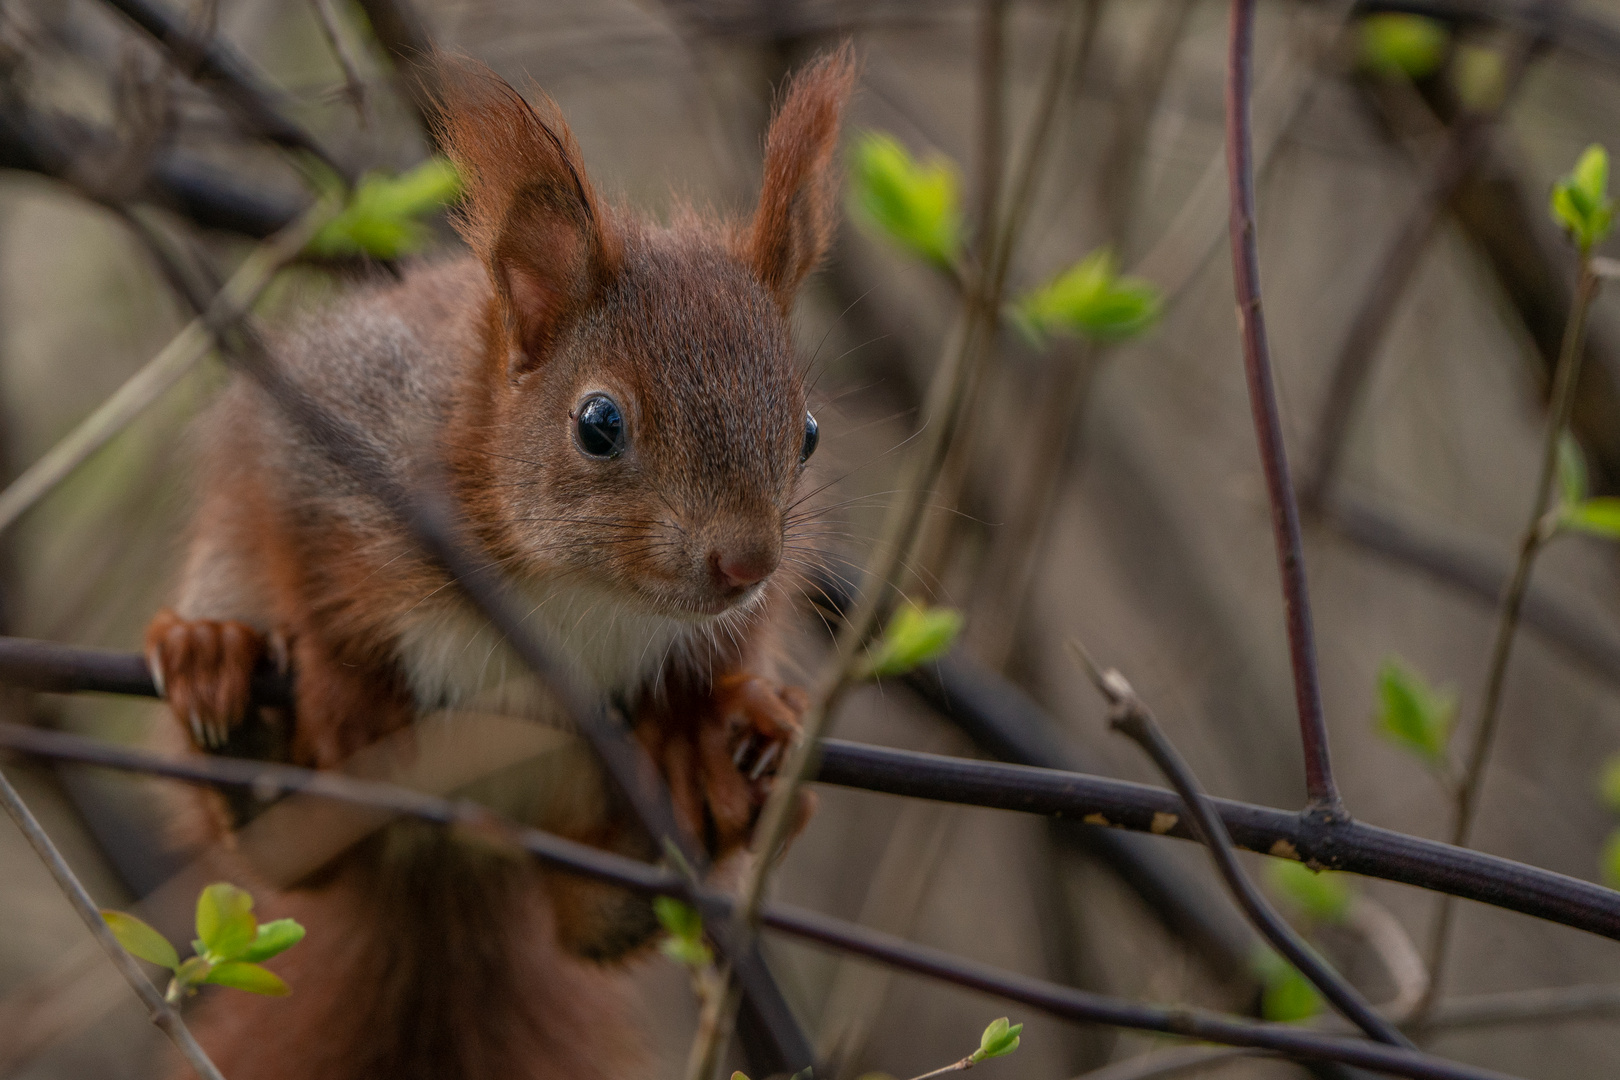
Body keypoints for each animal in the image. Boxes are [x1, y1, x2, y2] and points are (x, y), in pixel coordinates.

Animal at [140, 46, 861, 1075]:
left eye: (807, 434)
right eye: (598, 424)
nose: (746, 561)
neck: (580, 591)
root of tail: (447, 856)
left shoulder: (732, 618)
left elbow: (718, 662)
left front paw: (723, 721)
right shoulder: (328, 448)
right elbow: (307, 567)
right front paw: (344, 692)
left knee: (589, 919)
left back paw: (704, 818)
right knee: (285, 856)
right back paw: (239, 716)